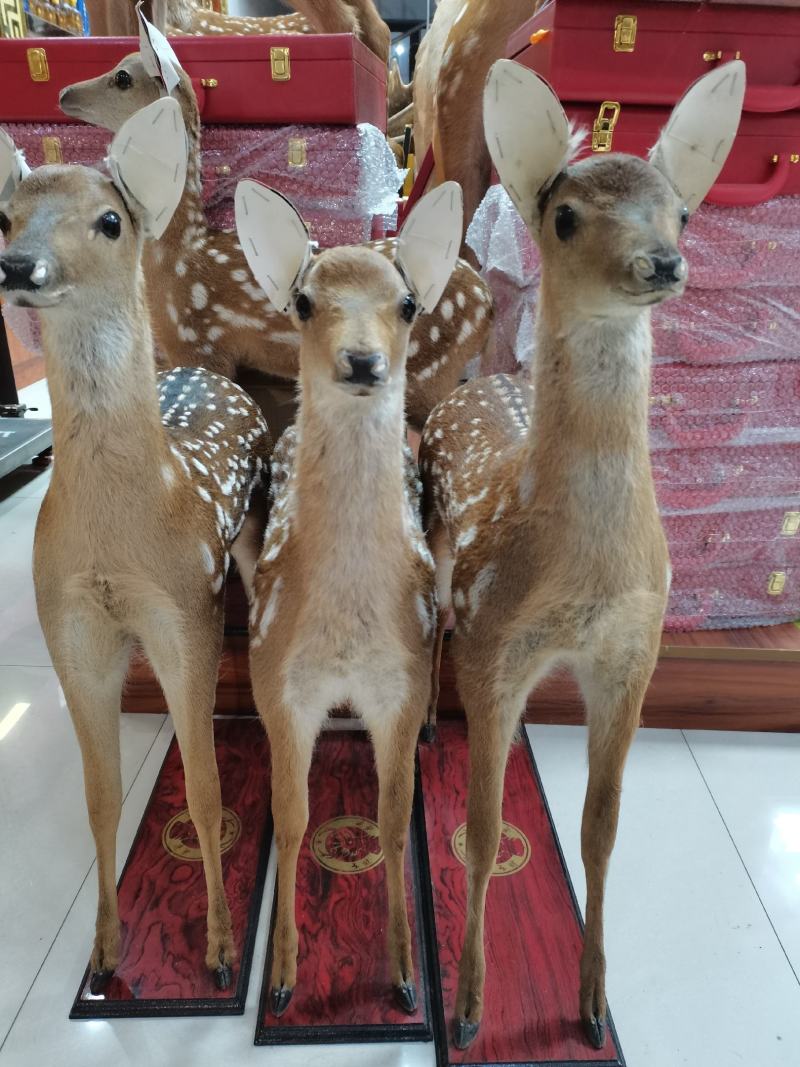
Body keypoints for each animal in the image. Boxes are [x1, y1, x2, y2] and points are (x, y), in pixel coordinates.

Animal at [0, 99, 271, 993]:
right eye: (4, 215)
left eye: (110, 220)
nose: (19, 265)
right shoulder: (72, 630)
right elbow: (102, 797)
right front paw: (102, 952)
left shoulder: (183, 612)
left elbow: (206, 793)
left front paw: (221, 951)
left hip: (244, 534)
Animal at [58, 10, 492, 430]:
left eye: (122, 76)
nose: (64, 93)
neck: (179, 254)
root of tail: (486, 302)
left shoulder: (199, 343)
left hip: (423, 369)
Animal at [235, 178, 462, 1016]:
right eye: (304, 300)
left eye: (407, 304)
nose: (362, 359)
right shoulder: (278, 682)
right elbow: (292, 820)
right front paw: (281, 978)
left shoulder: (397, 682)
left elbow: (395, 822)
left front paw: (403, 974)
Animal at [419, 60, 745, 1050]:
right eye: (565, 216)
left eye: (683, 213)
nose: (662, 262)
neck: (582, 568)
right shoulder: (497, 641)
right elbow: (484, 830)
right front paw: (472, 1006)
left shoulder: (631, 652)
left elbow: (602, 829)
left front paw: (594, 1001)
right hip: (440, 545)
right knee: (432, 620)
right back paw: (426, 726)